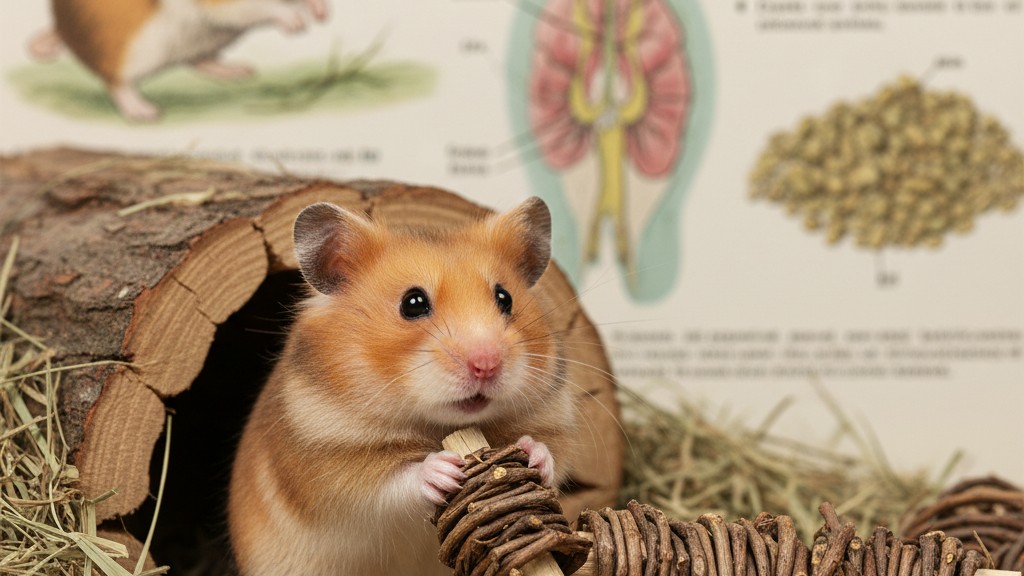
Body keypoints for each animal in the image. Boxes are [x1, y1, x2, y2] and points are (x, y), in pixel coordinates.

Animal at [31, 0, 326, 121]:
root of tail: (62, 28)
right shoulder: (224, 3)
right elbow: (269, 7)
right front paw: (296, 22)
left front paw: (322, 13)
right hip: (135, 51)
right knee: (115, 82)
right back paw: (145, 113)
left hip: (208, 38)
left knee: (196, 60)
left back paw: (239, 71)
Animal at [228, 197, 580, 576]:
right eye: (413, 303)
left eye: (505, 298)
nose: (486, 364)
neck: (436, 425)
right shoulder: (328, 468)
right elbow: (392, 482)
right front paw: (442, 470)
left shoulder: (554, 421)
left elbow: (552, 454)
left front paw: (533, 454)